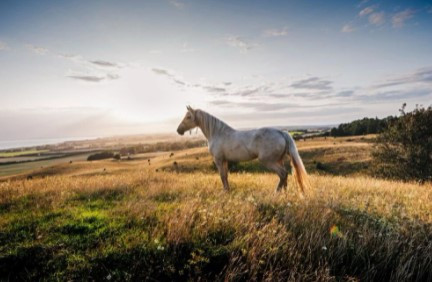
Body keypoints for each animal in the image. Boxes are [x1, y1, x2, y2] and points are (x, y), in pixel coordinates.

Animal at [177, 106, 308, 194]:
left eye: (188, 116)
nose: (179, 130)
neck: (217, 133)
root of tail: (281, 132)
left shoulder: (218, 160)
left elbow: (222, 175)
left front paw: (224, 192)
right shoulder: (225, 160)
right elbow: (225, 176)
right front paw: (228, 191)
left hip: (269, 161)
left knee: (283, 174)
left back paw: (276, 192)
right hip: (278, 160)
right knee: (285, 175)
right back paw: (284, 193)